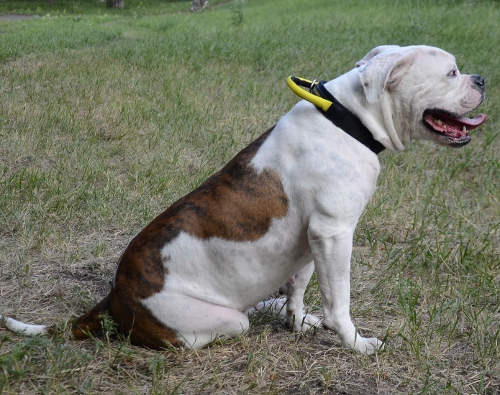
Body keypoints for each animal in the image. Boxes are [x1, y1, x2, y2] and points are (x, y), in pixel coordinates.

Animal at [0, 45, 484, 356]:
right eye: (451, 73)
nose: (481, 78)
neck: (348, 119)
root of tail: (116, 294)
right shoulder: (333, 232)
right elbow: (339, 302)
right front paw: (356, 343)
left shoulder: (312, 241)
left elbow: (301, 288)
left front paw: (297, 321)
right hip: (208, 323)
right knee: (222, 327)